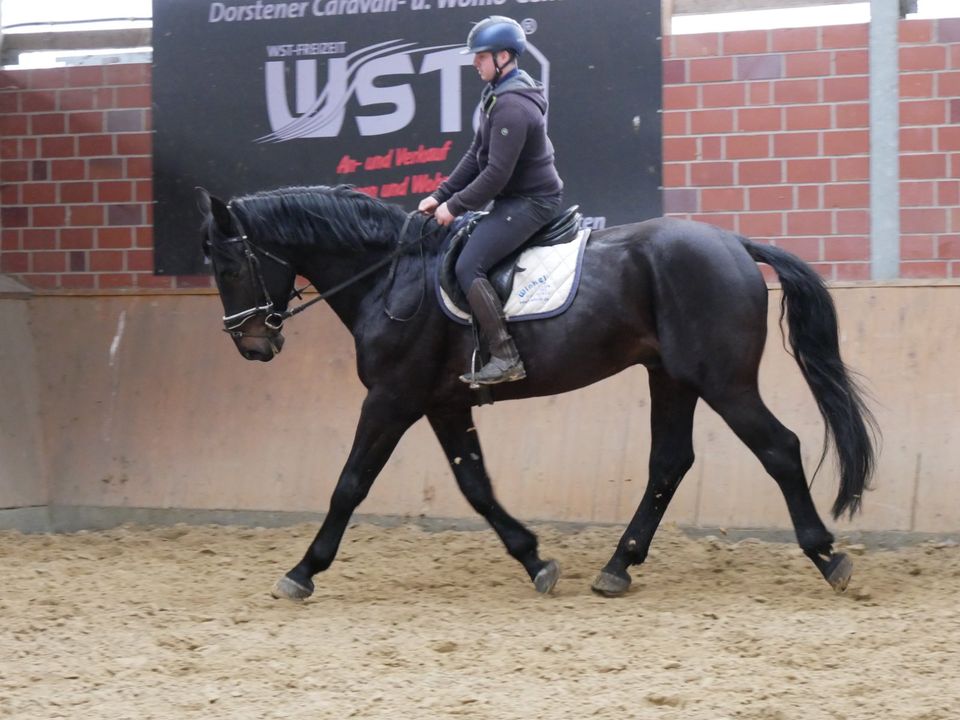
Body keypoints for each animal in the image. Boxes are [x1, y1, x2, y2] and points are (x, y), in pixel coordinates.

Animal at [197, 183, 876, 600]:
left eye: (228, 267)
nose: (252, 346)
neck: (390, 278)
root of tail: (734, 243)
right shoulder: (443, 404)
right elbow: (475, 485)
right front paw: (535, 559)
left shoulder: (391, 399)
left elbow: (350, 484)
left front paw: (301, 571)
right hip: (672, 376)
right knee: (669, 462)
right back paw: (617, 567)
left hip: (722, 380)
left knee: (779, 448)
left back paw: (828, 557)